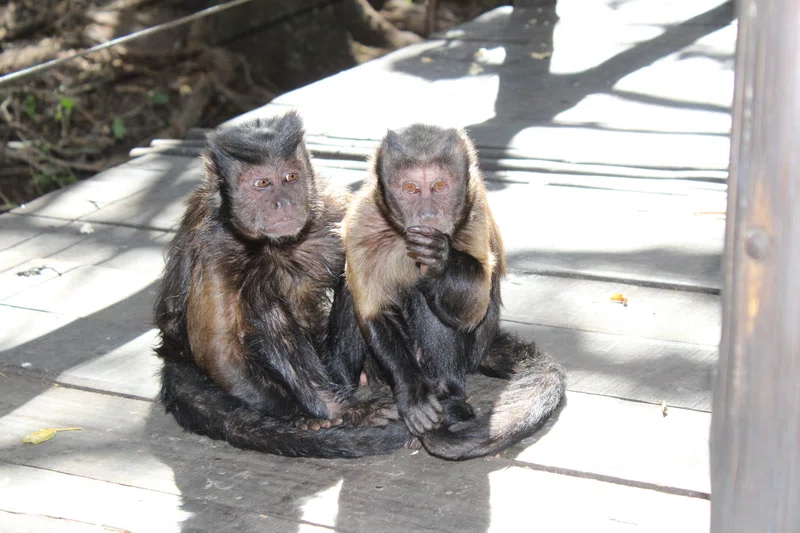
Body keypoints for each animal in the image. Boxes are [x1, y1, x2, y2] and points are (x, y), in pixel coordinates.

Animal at [153, 111, 414, 458]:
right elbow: (220, 353)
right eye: (263, 183)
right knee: (262, 299)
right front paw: (329, 413)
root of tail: (172, 356)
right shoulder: (214, 245)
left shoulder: (332, 207)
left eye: (290, 177)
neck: (276, 245)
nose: (284, 202)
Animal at [325, 124, 566, 460]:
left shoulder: (474, 207)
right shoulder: (363, 217)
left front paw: (441, 258)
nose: (428, 215)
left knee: (430, 300)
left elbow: (472, 310)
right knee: (353, 287)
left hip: (474, 349)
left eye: (439, 185)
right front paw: (413, 395)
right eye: (411, 188)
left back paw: (446, 391)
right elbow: (372, 312)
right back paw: (347, 393)